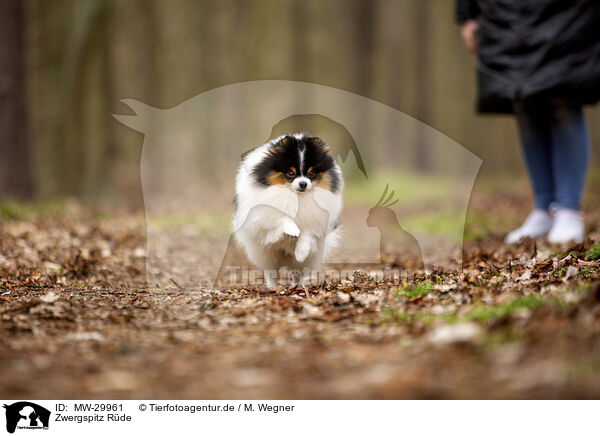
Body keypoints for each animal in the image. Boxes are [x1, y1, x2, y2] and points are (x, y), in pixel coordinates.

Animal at [233, 135, 344, 288]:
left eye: (311, 173)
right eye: (291, 173)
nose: (303, 184)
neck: (297, 196)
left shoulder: (317, 221)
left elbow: (307, 234)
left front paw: (301, 251)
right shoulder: (263, 216)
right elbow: (282, 218)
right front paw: (291, 230)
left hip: (308, 259)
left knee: (298, 272)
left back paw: (298, 286)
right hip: (265, 254)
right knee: (271, 272)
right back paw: (272, 288)